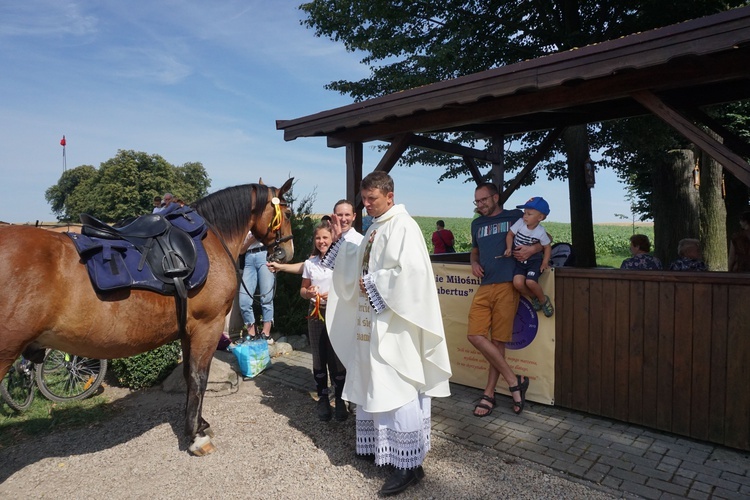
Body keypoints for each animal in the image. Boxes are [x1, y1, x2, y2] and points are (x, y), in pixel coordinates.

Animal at [0, 179, 296, 454]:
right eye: (289, 212)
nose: (287, 253)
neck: (211, 237)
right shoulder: (207, 326)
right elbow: (199, 377)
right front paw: (196, 436)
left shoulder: (188, 330)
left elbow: (188, 375)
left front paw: (198, 424)